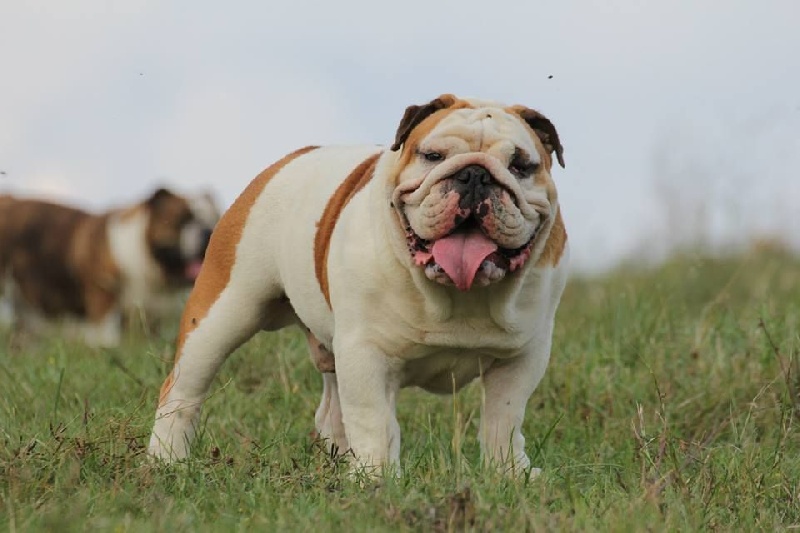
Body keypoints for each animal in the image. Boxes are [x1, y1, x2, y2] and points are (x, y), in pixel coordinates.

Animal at [148, 94, 569, 476]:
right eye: (432, 156)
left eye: (521, 166)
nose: (476, 176)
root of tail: (288, 160)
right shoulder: (366, 353)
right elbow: (374, 421)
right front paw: (377, 478)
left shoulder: (521, 359)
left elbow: (503, 418)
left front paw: (509, 474)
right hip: (223, 312)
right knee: (184, 389)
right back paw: (167, 460)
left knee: (331, 410)